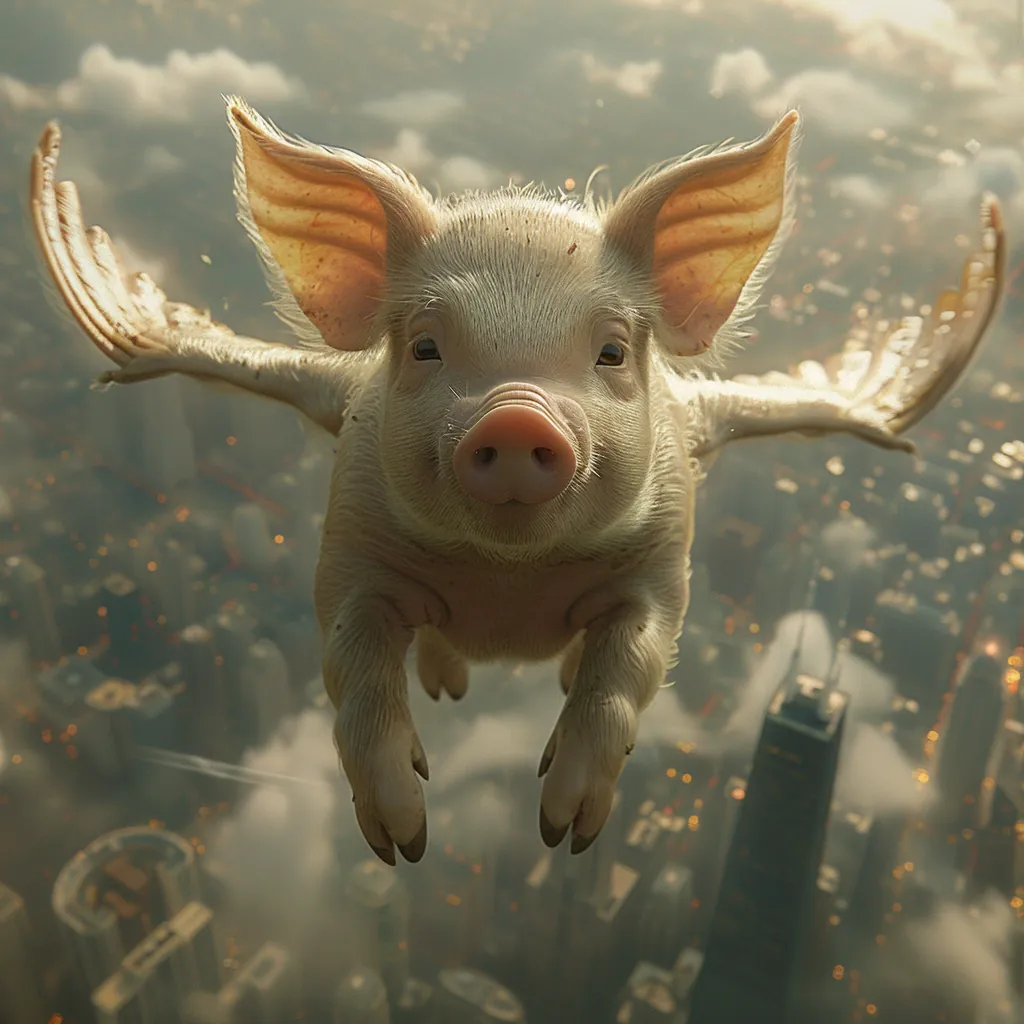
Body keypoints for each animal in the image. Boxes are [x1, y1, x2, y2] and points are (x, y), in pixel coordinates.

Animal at [29, 99, 1006, 866]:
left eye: (610, 350)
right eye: (426, 344)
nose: (516, 418)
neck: (506, 585)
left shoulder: (665, 562)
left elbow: (630, 661)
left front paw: (564, 832)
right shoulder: (349, 548)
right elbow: (354, 660)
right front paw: (403, 842)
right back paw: (451, 695)